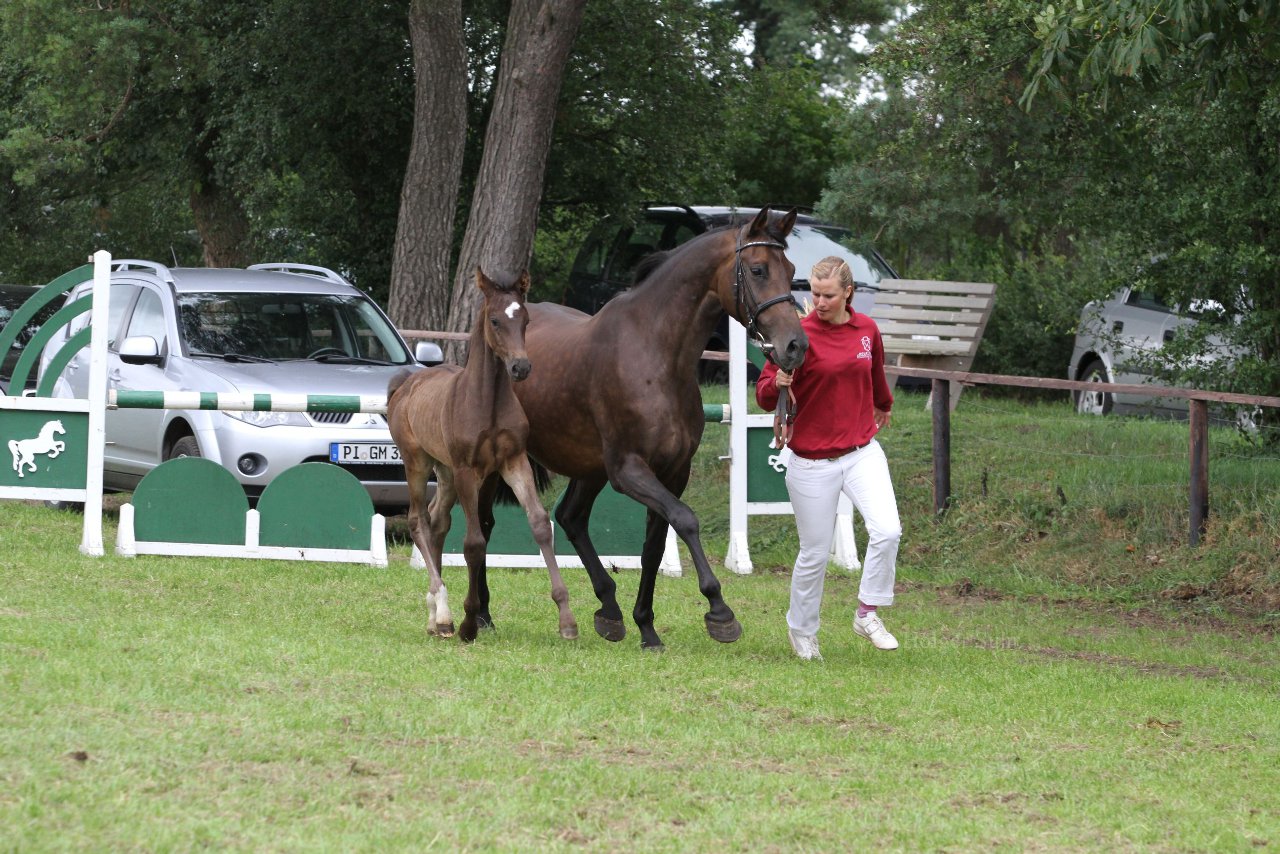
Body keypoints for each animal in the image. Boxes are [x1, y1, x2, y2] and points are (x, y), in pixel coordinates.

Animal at [384, 270, 576, 645]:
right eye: (495, 320)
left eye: (526, 320)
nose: (520, 367)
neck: (487, 404)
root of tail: (406, 384)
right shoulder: (466, 470)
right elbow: (473, 542)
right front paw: (469, 622)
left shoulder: (513, 462)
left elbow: (539, 524)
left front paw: (566, 619)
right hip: (418, 463)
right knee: (417, 521)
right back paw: (444, 613)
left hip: (443, 471)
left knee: (437, 521)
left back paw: (435, 616)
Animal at [494, 204, 803, 647]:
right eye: (759, 269)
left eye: (791, 268)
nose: (795, 346)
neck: (656, 356)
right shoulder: (630, 471)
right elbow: (686, 520)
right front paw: (720, 611)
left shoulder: (672, 472)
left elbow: (655, 547)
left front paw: (646, 626)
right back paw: (479, 616)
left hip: (589, 468)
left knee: (571, 517)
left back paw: (609, 610)